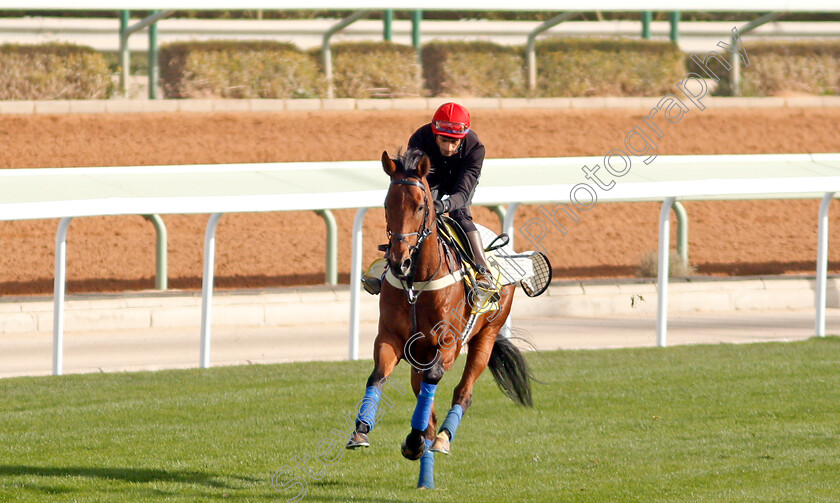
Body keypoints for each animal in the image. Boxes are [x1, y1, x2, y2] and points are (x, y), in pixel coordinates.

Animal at [346, 148, 532, 490]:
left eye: (421, 206)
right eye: (387, 204)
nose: (399, 260)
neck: (418, 281)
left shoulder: (448, 343)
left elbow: (435, 378)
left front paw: (417, 440)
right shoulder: (392, 338)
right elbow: (377, 376)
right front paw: (361, 431)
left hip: (486, 336)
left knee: (463, 392)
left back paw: (442, 438)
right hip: (418, 356)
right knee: (426, 402)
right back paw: (423, 457)